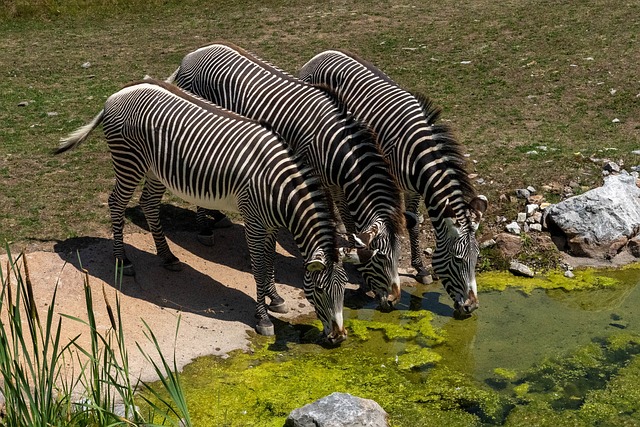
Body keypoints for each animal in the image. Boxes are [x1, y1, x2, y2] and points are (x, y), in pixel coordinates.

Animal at [53, 78, 356, 342]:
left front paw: (276, 297)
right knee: (116, 203)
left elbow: (270, 260)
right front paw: (263, 318)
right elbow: (259, 267)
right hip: (129, 162)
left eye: (344, 288)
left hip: (154, 169)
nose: (339, 337)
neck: (279, 188)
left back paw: (168, 257)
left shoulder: (270, 224)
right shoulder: (254, 221)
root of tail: (119, 92)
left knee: (149, 203)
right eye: (319, 290)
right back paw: (122, 260)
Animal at [165, 41, 404, 310]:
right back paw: (205, 229)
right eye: (381, 257)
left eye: (399, 255)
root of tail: (193, 54)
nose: (394, 300)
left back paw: (216, 216)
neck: (335, 146)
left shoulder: (338, 184)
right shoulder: (313, 176)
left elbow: (348, 218)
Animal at [298, 51, 488, 318]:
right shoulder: (391, 182)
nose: (472, 307)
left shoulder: (413, 188)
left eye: (477, 257)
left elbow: (413, 222)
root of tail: (320, 55)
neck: (417, 153)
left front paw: (421, 269)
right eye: (459, 259)